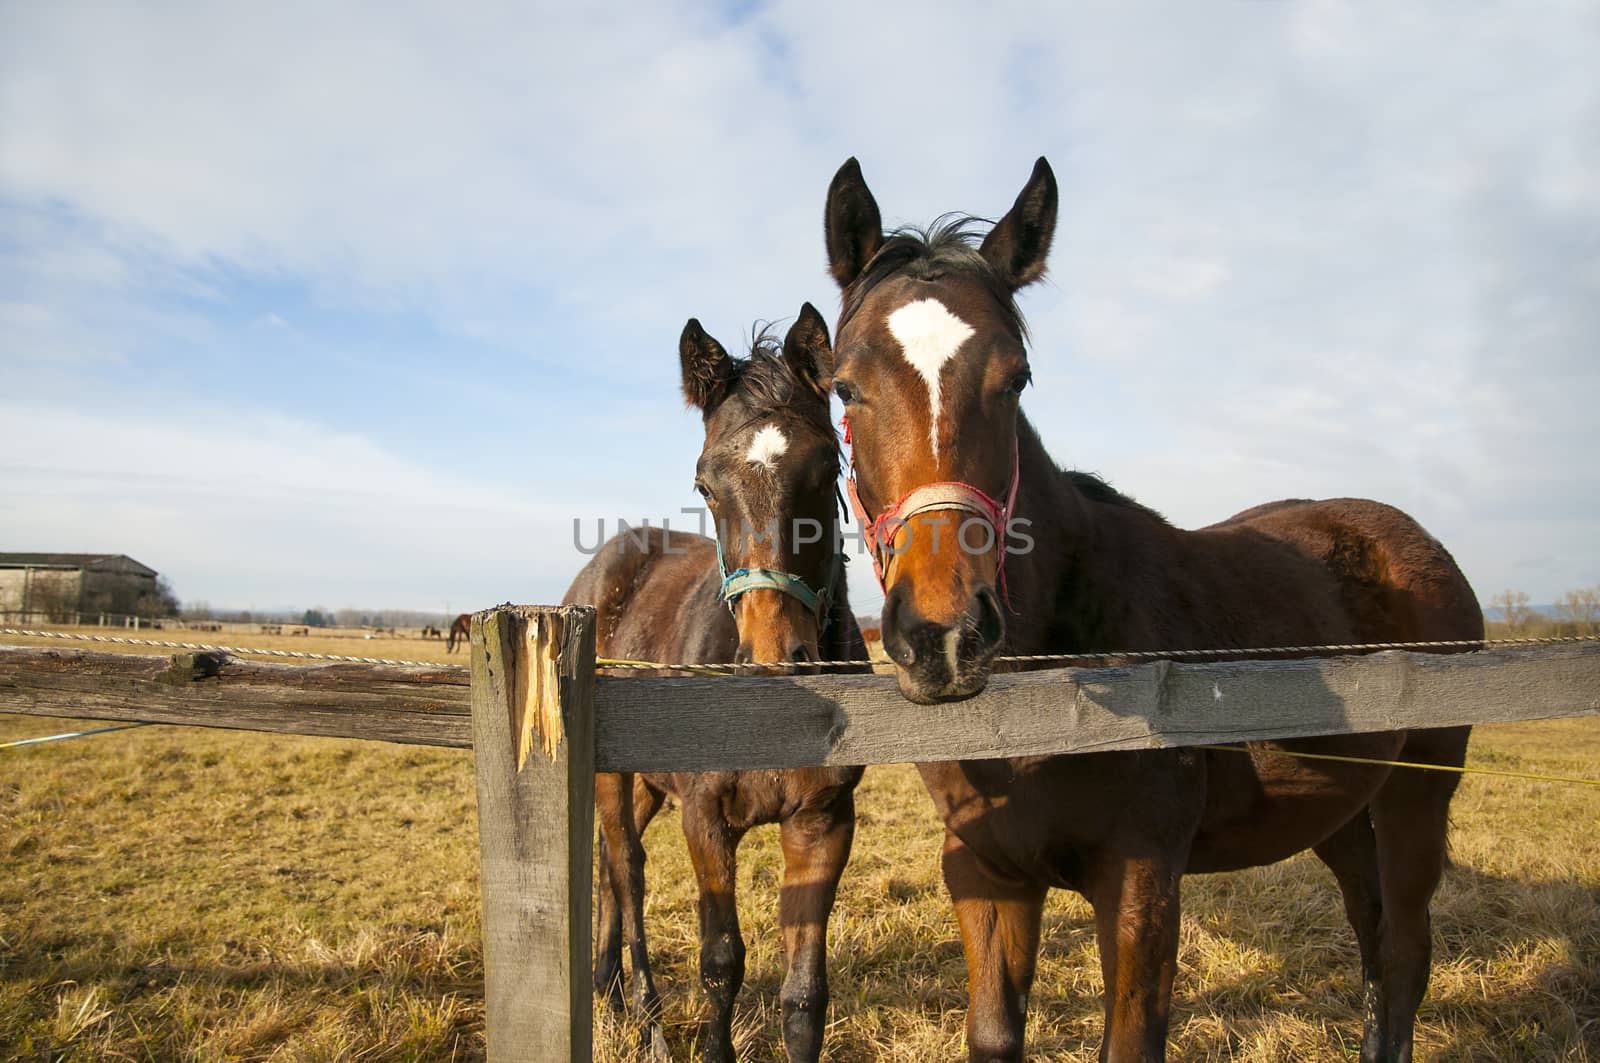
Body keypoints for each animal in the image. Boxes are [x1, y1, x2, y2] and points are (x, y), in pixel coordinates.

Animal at [563, 300, 864, 1063]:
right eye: (705, 483)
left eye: (828, 467)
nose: (776, 659)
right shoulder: (704, 817)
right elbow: (722, 959)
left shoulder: (822, 822)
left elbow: (805, 992)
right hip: (614, 782)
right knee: (627, 870)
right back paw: (644, 1014)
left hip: (647, 784)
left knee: (609, 870)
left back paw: (610, 992)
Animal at [825, 157, 1484, 1063]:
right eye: (846, 386)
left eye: (1015, 379)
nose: (945, 636)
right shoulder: (986, 873)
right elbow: (994, 1034)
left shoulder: (1140, 884)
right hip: (1341, 809)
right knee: (1375, 936)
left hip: (1419, 793)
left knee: (1407, 950)